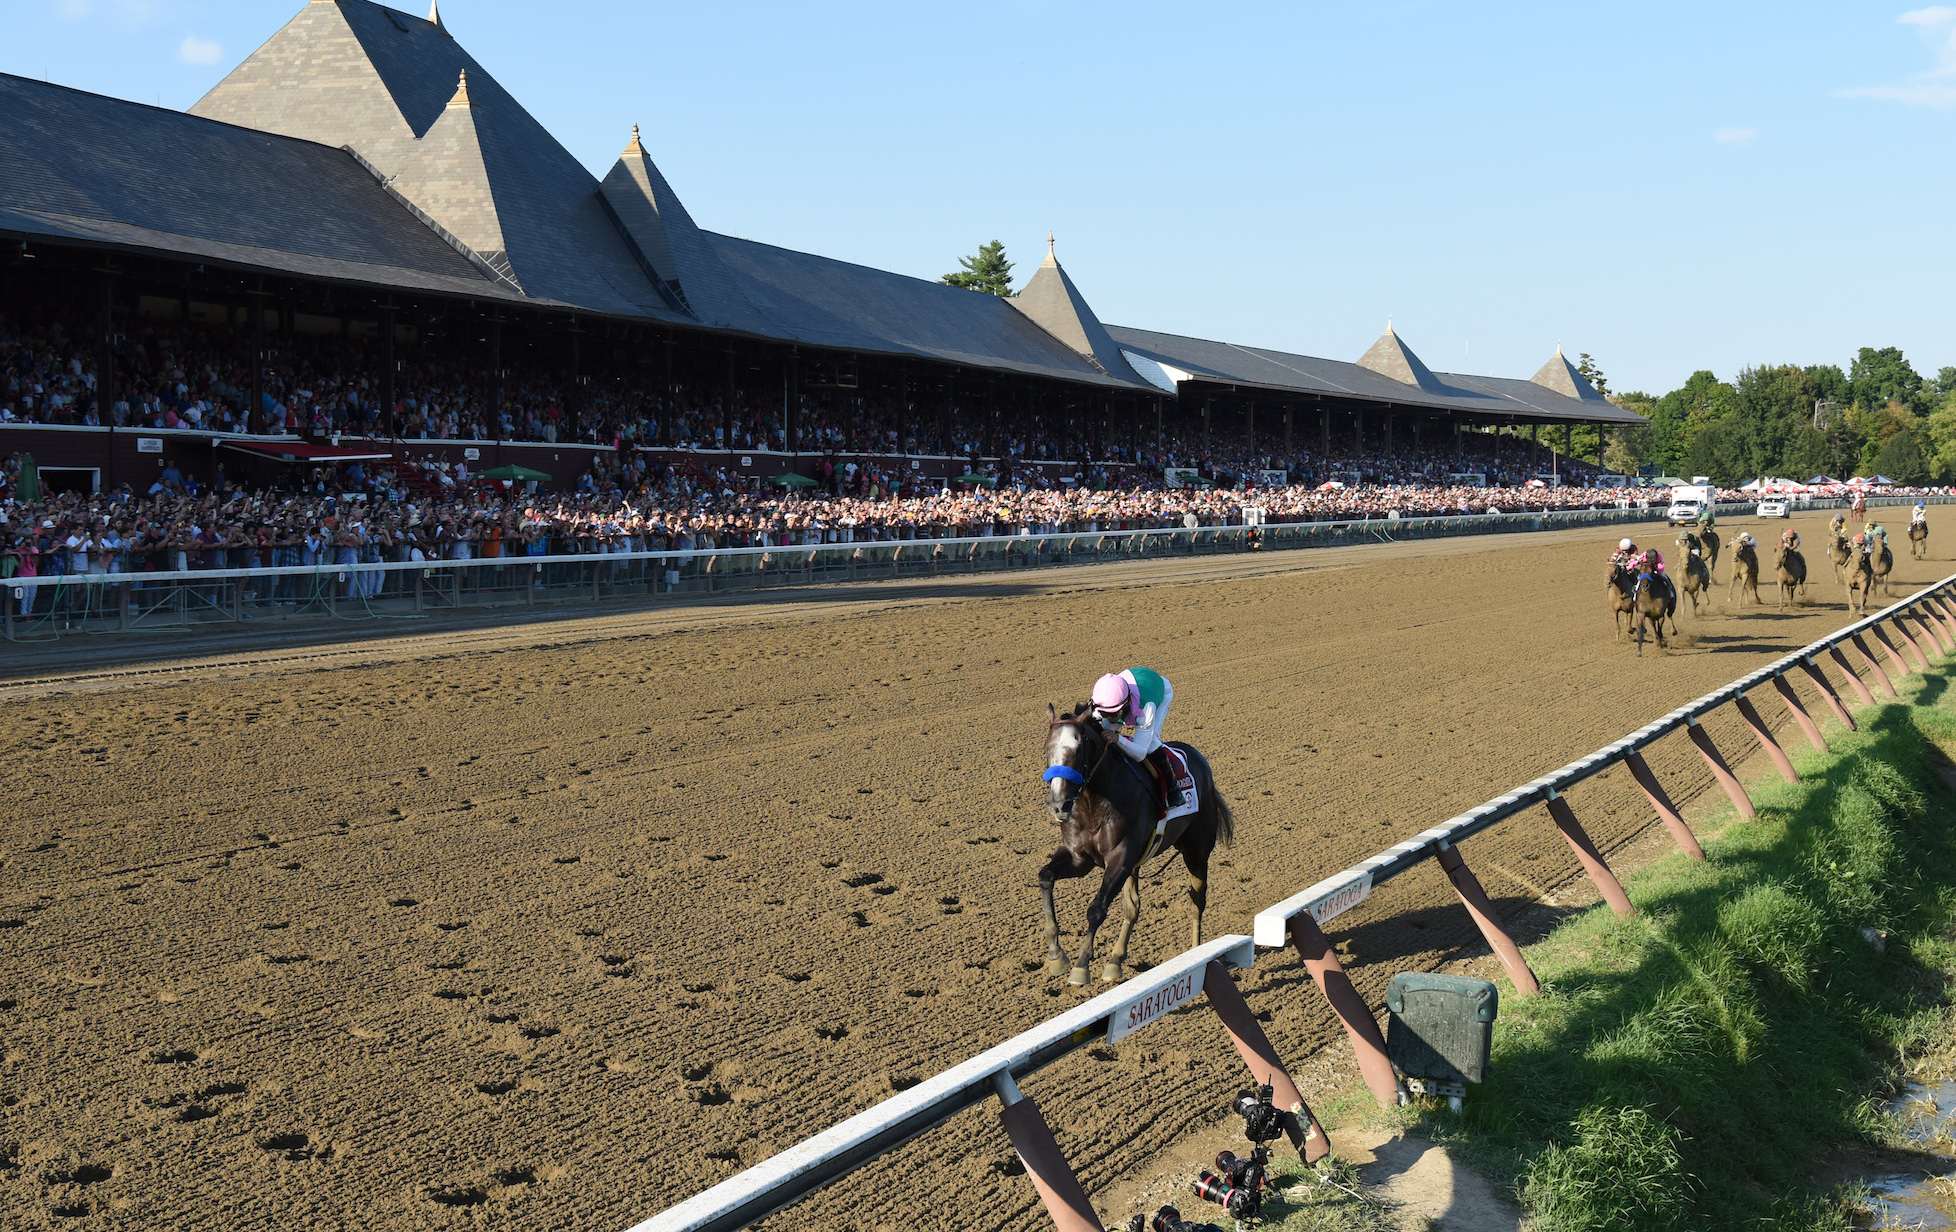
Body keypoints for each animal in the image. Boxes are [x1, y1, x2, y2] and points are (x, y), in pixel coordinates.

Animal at [1032, 707, 1228, 989]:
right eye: (1047, 748)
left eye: (1078, 750)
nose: (1059, 805)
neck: (1094, 802)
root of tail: (1200, 760)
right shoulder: (1080, 859)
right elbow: (1045, 876)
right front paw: (1056, 955)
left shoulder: (1120, 858)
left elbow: (1096, 909)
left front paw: (1081, 966)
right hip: (1137, 863)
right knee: (1133, 906)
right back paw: (1115, 961)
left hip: (1196, 852)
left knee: (1197, 900)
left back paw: (1196, 951)